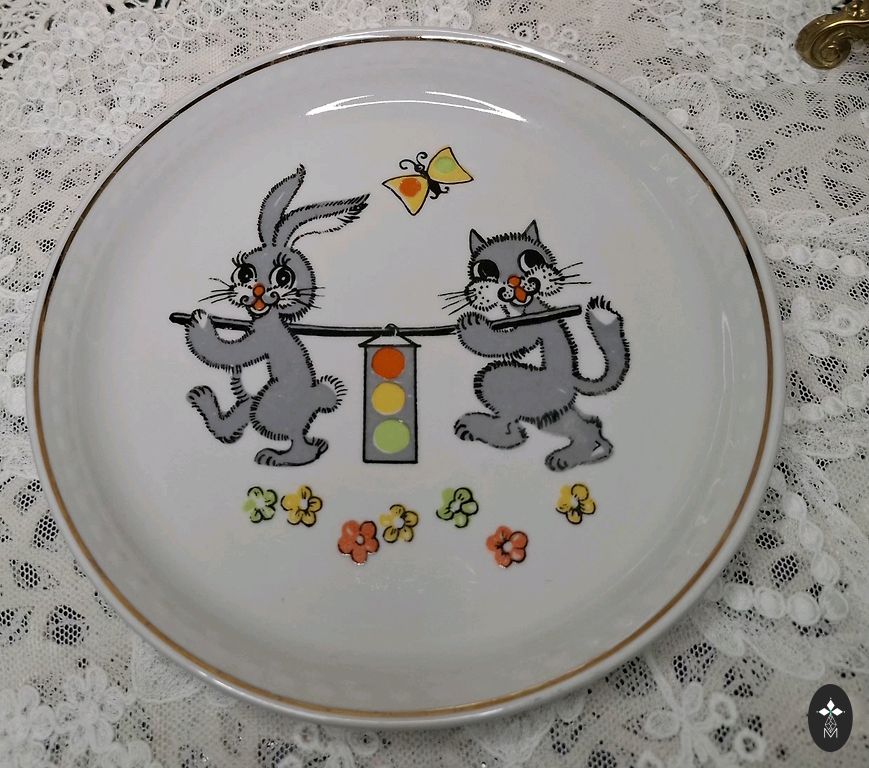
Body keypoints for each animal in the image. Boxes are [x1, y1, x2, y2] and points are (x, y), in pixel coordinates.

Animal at [183, 166, 368, 466]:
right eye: (244, 273)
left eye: (283, 277)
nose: (259, 291)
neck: (269, 318)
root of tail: (317, 399)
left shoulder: (262, 339)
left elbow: (225, 353)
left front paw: (199, 323)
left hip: (268, 406)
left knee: (292, 438)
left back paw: (280, 457)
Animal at [448, 220, 630, 470]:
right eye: (485, 270)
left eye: (531, 260)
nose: (513, 282)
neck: (521, 309)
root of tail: (571, 380)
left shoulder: (533, 324)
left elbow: (504, 342)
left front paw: (472, 326)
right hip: (549, 410)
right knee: (580, 425)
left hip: (524, 388)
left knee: (506, 411)